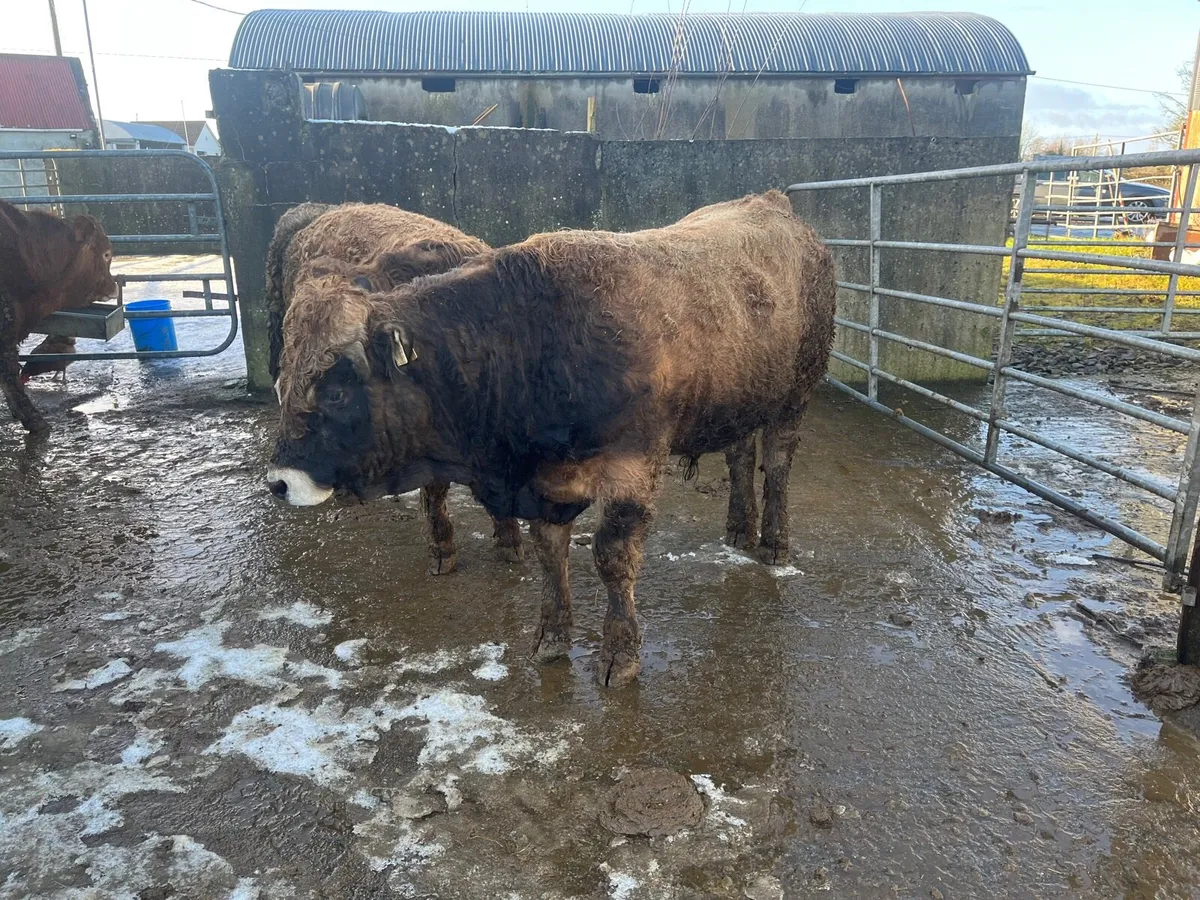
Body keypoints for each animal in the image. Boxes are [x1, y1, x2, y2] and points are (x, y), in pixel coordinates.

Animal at [264, 202, 522, 572]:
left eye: (336, 392)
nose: (280, 482)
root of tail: (316, 212)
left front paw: (509, 538)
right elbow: (436, 489)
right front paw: (442, 548)